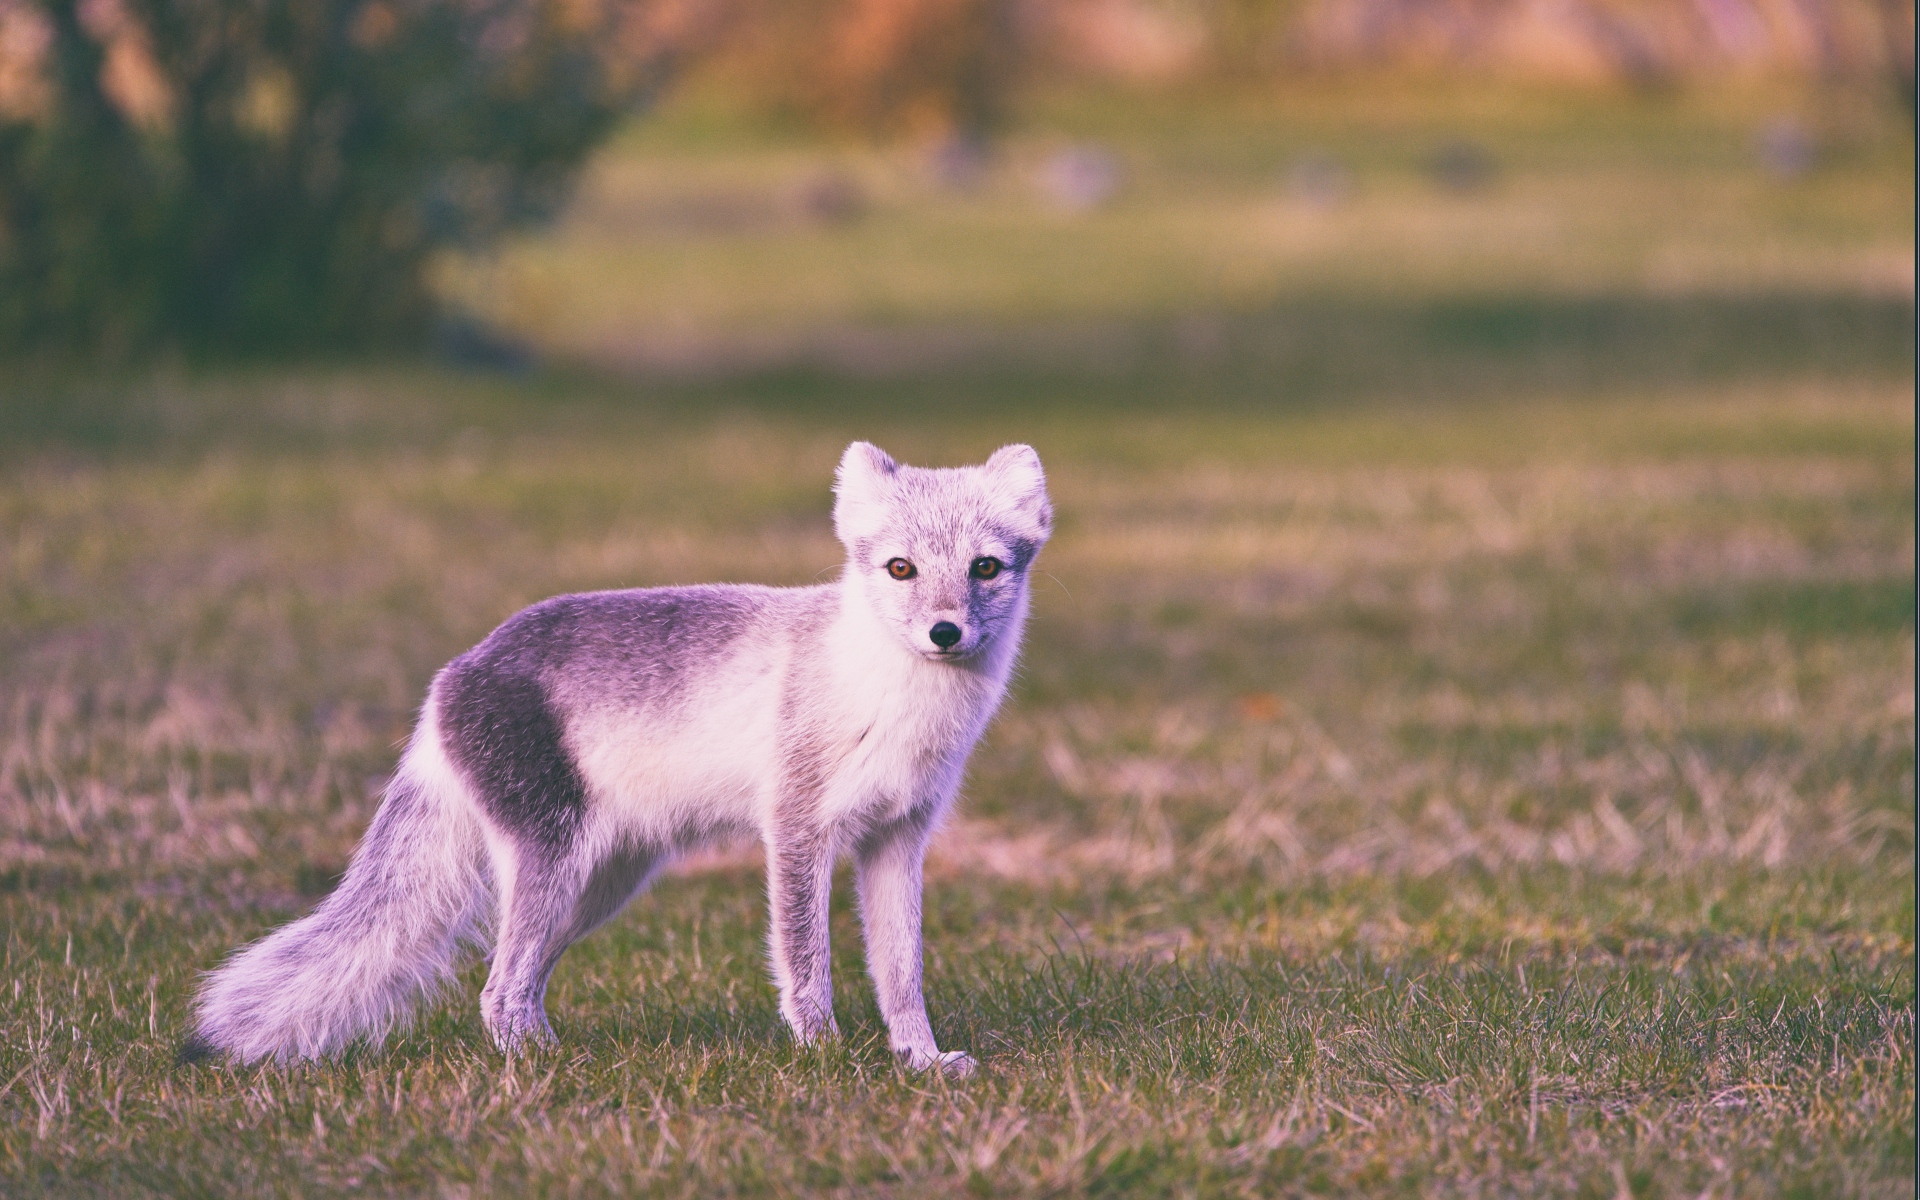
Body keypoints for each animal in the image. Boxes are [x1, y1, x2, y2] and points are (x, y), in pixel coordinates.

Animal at [183, 441, 1050, 1077]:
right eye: (901, 569)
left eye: (985, 568)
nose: (945, 632)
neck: (893, 701)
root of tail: (450, 678)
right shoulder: (797, 830)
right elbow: (806, 962)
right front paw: (827, 1058)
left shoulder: (899, 838)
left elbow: (902, 973)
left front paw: (920, 1061)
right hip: (554, 862)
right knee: (498, 988)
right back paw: (543, 1067)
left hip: (602, 883)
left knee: (513, 979)